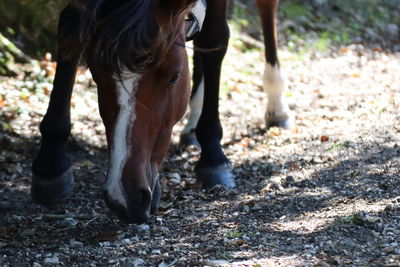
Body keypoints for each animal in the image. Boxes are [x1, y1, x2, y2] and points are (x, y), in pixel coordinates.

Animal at [32, 0, 292, 225]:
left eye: (173, 77)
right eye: (96, 75)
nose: (124, 196)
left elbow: (214, 39)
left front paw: (213, 156)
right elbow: (71, 25)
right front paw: (51, 161)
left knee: (265, 8)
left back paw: (276, 105)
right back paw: (192, 126)